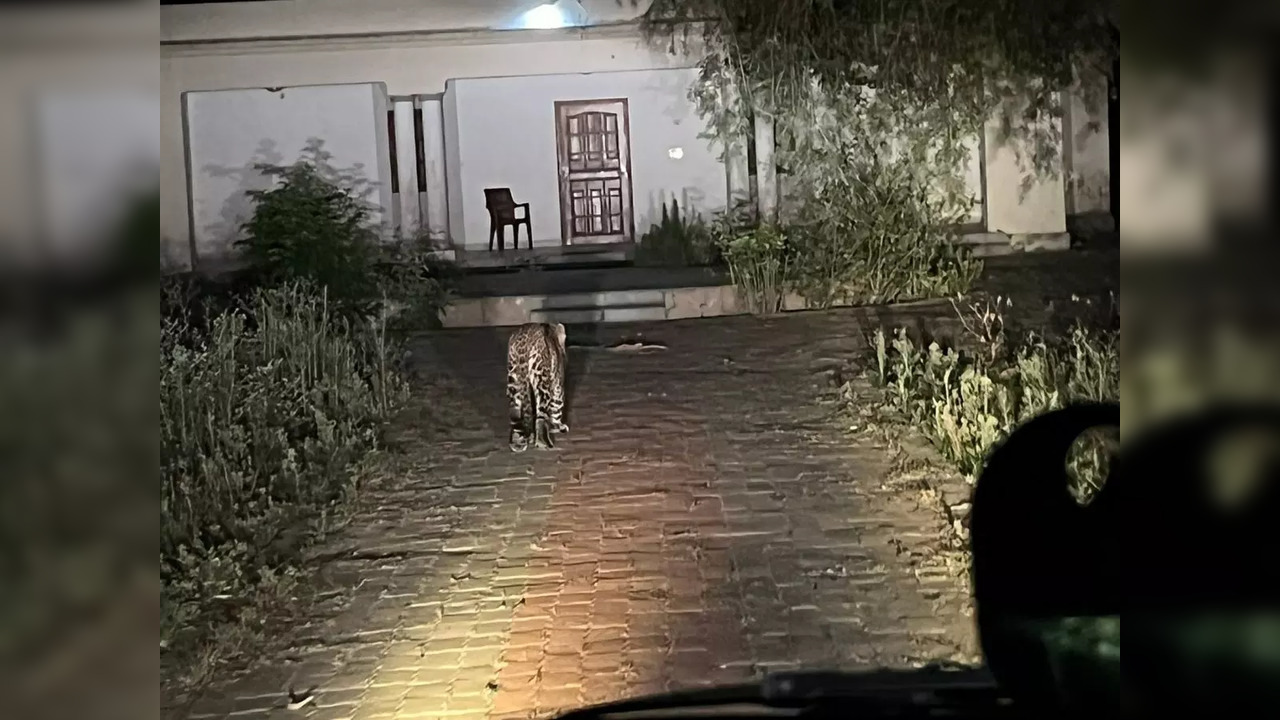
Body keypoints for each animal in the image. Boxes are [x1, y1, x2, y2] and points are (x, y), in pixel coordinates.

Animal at [506, 319, 568, 448]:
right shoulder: (558, 385)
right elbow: (557, 407)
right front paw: (558, 426)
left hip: (514, 378)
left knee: (515, 411)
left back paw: (517, 442)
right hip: (542, 380)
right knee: (541, 415)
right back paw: (543, 442)